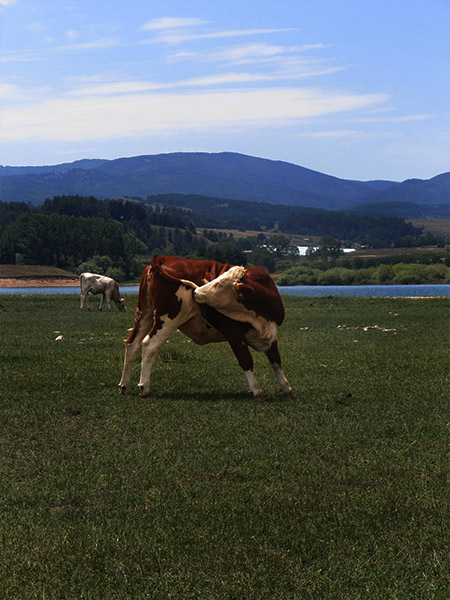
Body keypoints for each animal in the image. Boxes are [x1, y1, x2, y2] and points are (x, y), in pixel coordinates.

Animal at [118, 254, 290, 398]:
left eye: (218, 283)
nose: (196, 291)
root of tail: (161, 259)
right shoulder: (233, 332)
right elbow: (246, 360)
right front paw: (256, 389)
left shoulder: (272, 335)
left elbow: (276, 360)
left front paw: (285, 386)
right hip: (167, 319)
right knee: (149, 346)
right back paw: (144, 386)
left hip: (144, 314)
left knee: (132, 344)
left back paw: (125, 385)